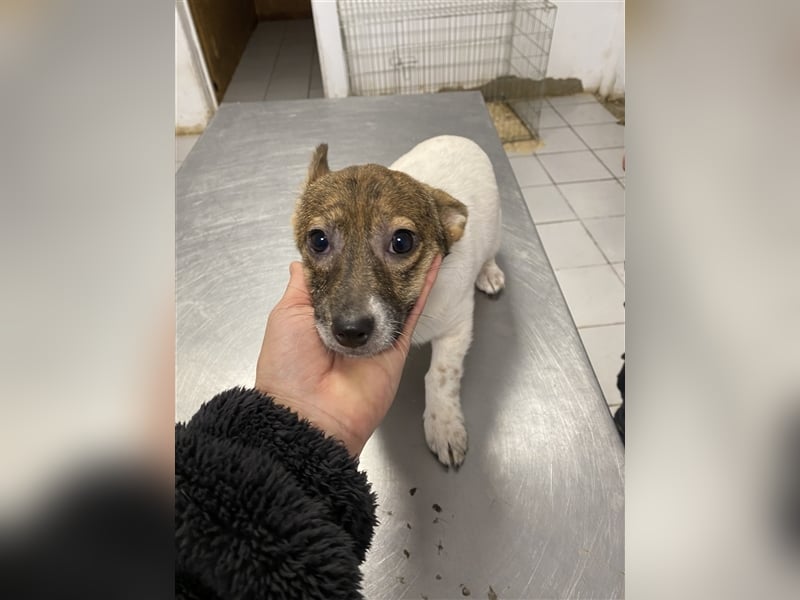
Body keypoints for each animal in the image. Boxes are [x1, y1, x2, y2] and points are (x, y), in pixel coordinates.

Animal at [292, 135, 504, 467]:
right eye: (318, 240)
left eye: (402, 242)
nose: (350, 331)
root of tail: (459, 138)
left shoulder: (457, 327)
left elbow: (441, 375)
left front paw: (444, 425)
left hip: (496, 229)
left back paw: (490, 272)